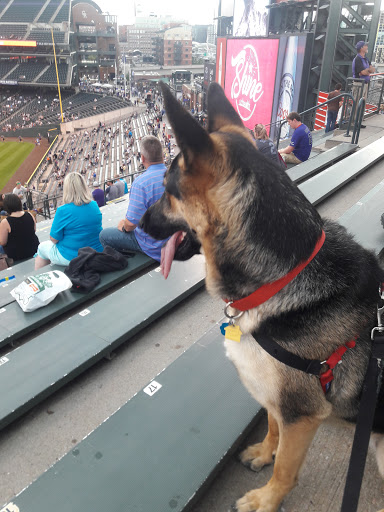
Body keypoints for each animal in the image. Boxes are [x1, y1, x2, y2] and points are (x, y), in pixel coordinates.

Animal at [140, 82, 384, 510]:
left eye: (168, 191)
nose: (137, 222)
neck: (284, 277)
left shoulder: (301, 414)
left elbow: (285, 469)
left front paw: (266, 500)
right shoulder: (277, 403)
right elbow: (272, 428)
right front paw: (264, 453)